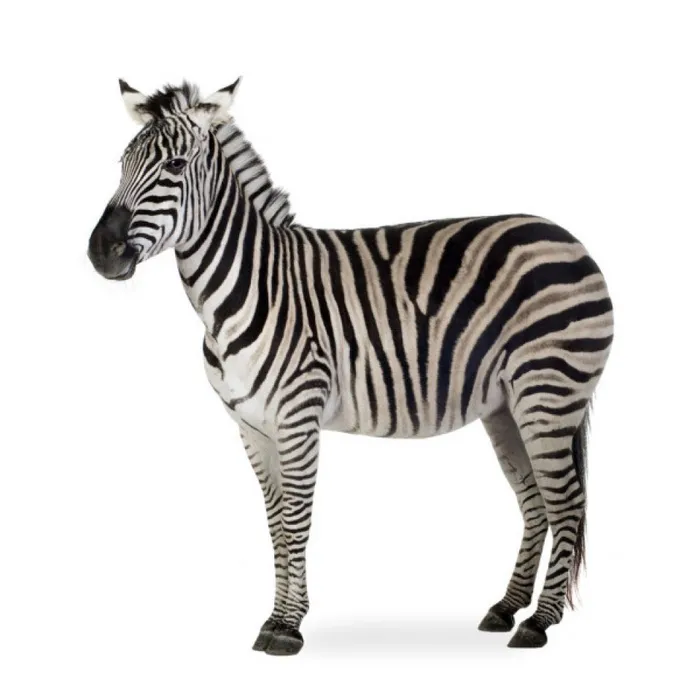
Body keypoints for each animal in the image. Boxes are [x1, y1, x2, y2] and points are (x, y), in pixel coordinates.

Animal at [87, 79, 614, 656]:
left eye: (176, 165)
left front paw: (289, 628)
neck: (247, 286)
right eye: (121, 164)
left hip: (549, 391)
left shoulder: (298, 418)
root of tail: (568, 237)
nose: (101, 252)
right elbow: (275, 524)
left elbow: (296, 521)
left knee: (568, 502)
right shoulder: (252, 427)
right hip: (507, 405)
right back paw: (506, 608)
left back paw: (539, 621)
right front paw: (275, 619)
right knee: (536, 502)